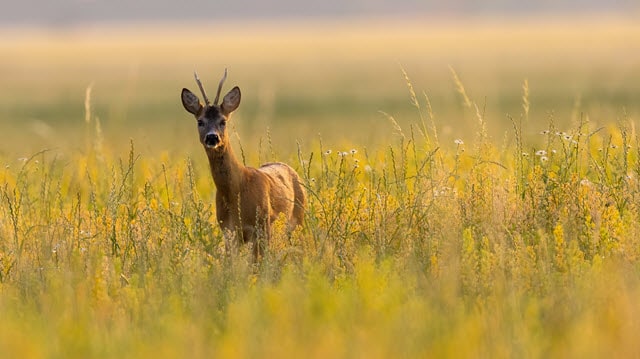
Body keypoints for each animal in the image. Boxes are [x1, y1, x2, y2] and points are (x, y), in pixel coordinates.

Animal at [179, 69, 306, 258]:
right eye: (200, 121)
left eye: (223, 121)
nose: (212, 137)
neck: (237, 190)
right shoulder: (228, 231)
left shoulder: (262, 226)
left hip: (298, 219)